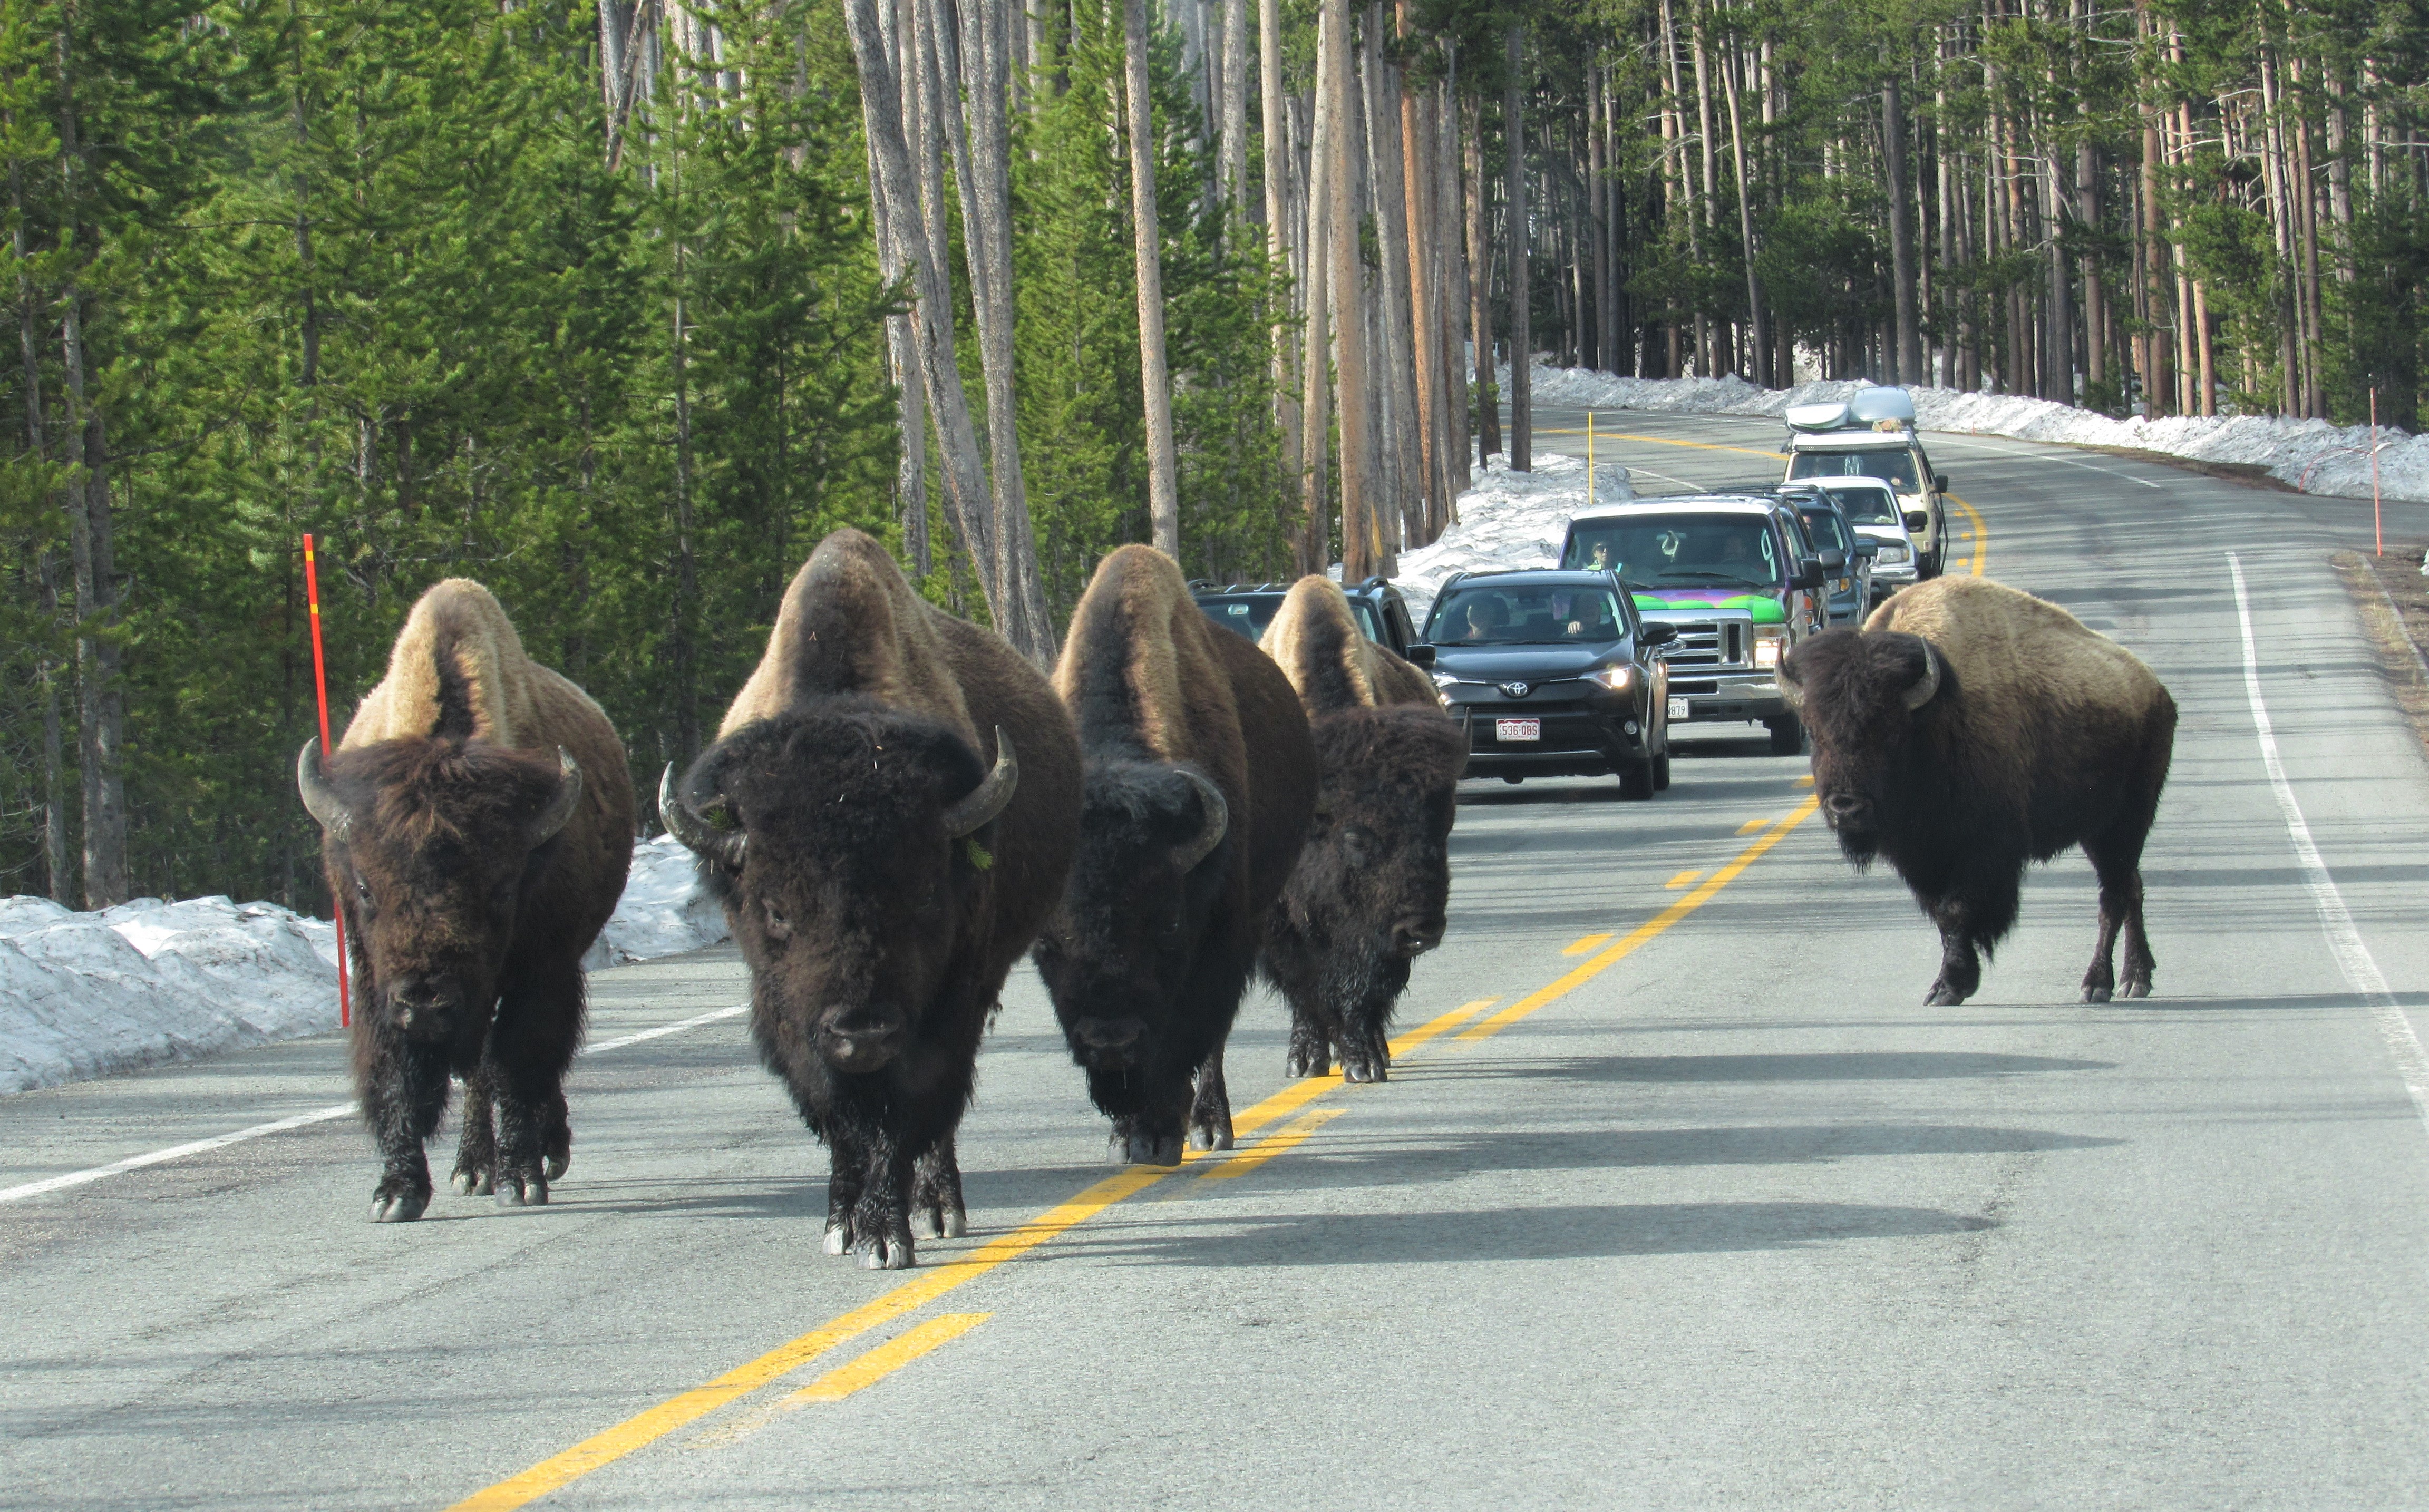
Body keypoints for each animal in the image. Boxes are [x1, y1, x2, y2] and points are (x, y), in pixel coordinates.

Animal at [295, 578, 641, 1218]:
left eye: (503, 889)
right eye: (365, 887)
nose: (427, 1001)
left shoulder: (541, 969)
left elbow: (515, 1063)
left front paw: (522, 1179)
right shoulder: (373, 978)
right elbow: (397, 1073)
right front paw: (397, 1193)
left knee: (505, 1066)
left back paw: (529, 1156)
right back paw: (472, 1168)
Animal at [665, 526, 1083, 1272]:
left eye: (923, 891)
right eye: (776, 908)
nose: (861, 1030)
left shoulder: (945, 1007)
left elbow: (904, 1117)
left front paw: (888, 1234)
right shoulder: (794, 1022)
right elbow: (841, 1122)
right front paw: (844, 1224)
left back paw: (941, 1207)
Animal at [1035, 546, 1321, 1169]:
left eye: (1166, 924)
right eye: (1045, 944)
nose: (1111, 1040)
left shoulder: (1217, 944)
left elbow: (1187, 1040)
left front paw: (1164, 1132)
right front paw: (1129, 1137)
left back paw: (1211, 1126)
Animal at [1253, 572, 1457, 1082]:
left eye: (1441, 830)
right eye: (1354, 838)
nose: (1422, 929)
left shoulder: (1373, 934)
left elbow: (1363, 985)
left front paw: (1363, 1060)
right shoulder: (1280, 922)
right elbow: (1303, 985)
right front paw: (1305, 1060)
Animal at [1787, 578, 2186, 1004]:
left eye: (1890, 730)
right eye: (1815, 732)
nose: (1845, 807)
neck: (1933, 718)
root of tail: (2154, 688)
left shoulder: (1983, 849)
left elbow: (1956, 911)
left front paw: (1950, 987)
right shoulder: (1922, 856)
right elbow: (1942, 913)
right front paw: (1950, 984)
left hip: (2124, 823)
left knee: (2114, 895)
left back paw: (2099, 984)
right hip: (2101, 832)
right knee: (2132, 888)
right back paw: (2136, 977)